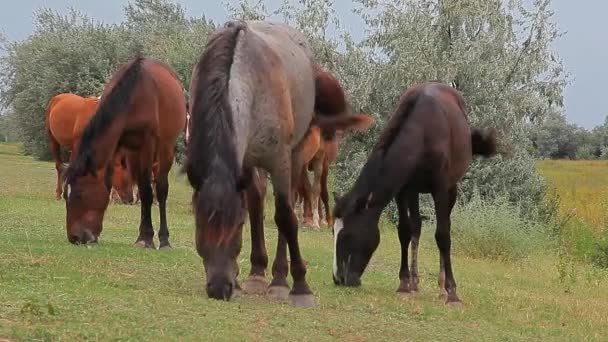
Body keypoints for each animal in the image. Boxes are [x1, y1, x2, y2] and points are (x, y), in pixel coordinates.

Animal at [63, 57, 188, 247]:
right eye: (65, 195)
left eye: (79, 194)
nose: (74, 238)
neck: (133, 97)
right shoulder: (120, 146)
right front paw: (142, 236)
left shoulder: (148, 144)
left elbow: (148, 191)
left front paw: (146, 239)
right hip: (134, 154)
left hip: (165, 148)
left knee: (160, 188)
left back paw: (164, 240)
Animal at [183, 20, 370, 306]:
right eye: (199, 224)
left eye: (236, 226)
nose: (219, 288)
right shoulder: (243, 162)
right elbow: (253, 208)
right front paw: (245, 276)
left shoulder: (280, 160)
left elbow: (285, 216)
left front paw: (299, 286)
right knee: (258, 200)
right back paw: (257, 272)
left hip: (296, 157)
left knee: (289, 204)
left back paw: (280, 278)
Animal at [330, 81, 496, 304]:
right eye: (333, 232)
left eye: (348, 235)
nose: (338, 278)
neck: (422, 132)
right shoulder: (403, 190)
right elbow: (405, 231)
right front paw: (404, 283)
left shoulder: (440, 188)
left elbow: (443, 235)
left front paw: (452, 292)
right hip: (414, 192)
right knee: (416, 226)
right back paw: (415, 281)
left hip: (451, 189)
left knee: (444, 227)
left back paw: (442, 286)